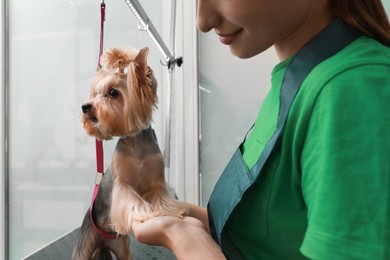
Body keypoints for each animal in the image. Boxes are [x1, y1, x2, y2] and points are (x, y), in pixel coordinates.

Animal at [74, 46, 190, 260]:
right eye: (95, 93)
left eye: (112, 92)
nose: (85, 106)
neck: (137, 145)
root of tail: (103, 242)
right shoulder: (123, 183)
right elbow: (133, 200)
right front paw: (146, 213)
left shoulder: (157, 180)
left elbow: (161, 198)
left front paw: (171, 211)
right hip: (83, 246)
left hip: (122, 249)